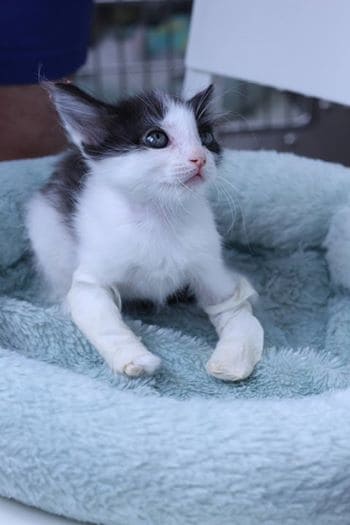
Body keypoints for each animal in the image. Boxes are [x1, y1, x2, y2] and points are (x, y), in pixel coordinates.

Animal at [26, 84, 262, 380]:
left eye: (206, 137)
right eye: (156, 138)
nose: (200, 158)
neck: (160, 216)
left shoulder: (210, 268)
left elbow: (236, 311)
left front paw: (232, 359)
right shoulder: (92, 276)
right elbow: (97, 313)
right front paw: (135, 359)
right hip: (44, 226)